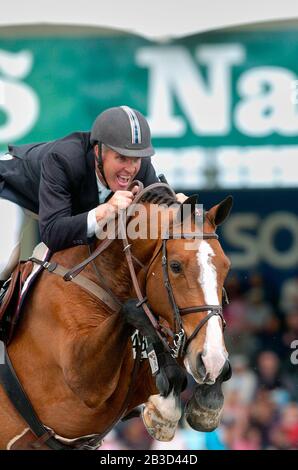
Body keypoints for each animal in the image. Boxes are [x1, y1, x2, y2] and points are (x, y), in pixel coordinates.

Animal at [0, 183, 233, 448]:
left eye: (226, 267)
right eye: (175, 266)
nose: (211, 359)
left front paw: (207, 398)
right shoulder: (81, 377)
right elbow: (133, 310)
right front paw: (164, 412)